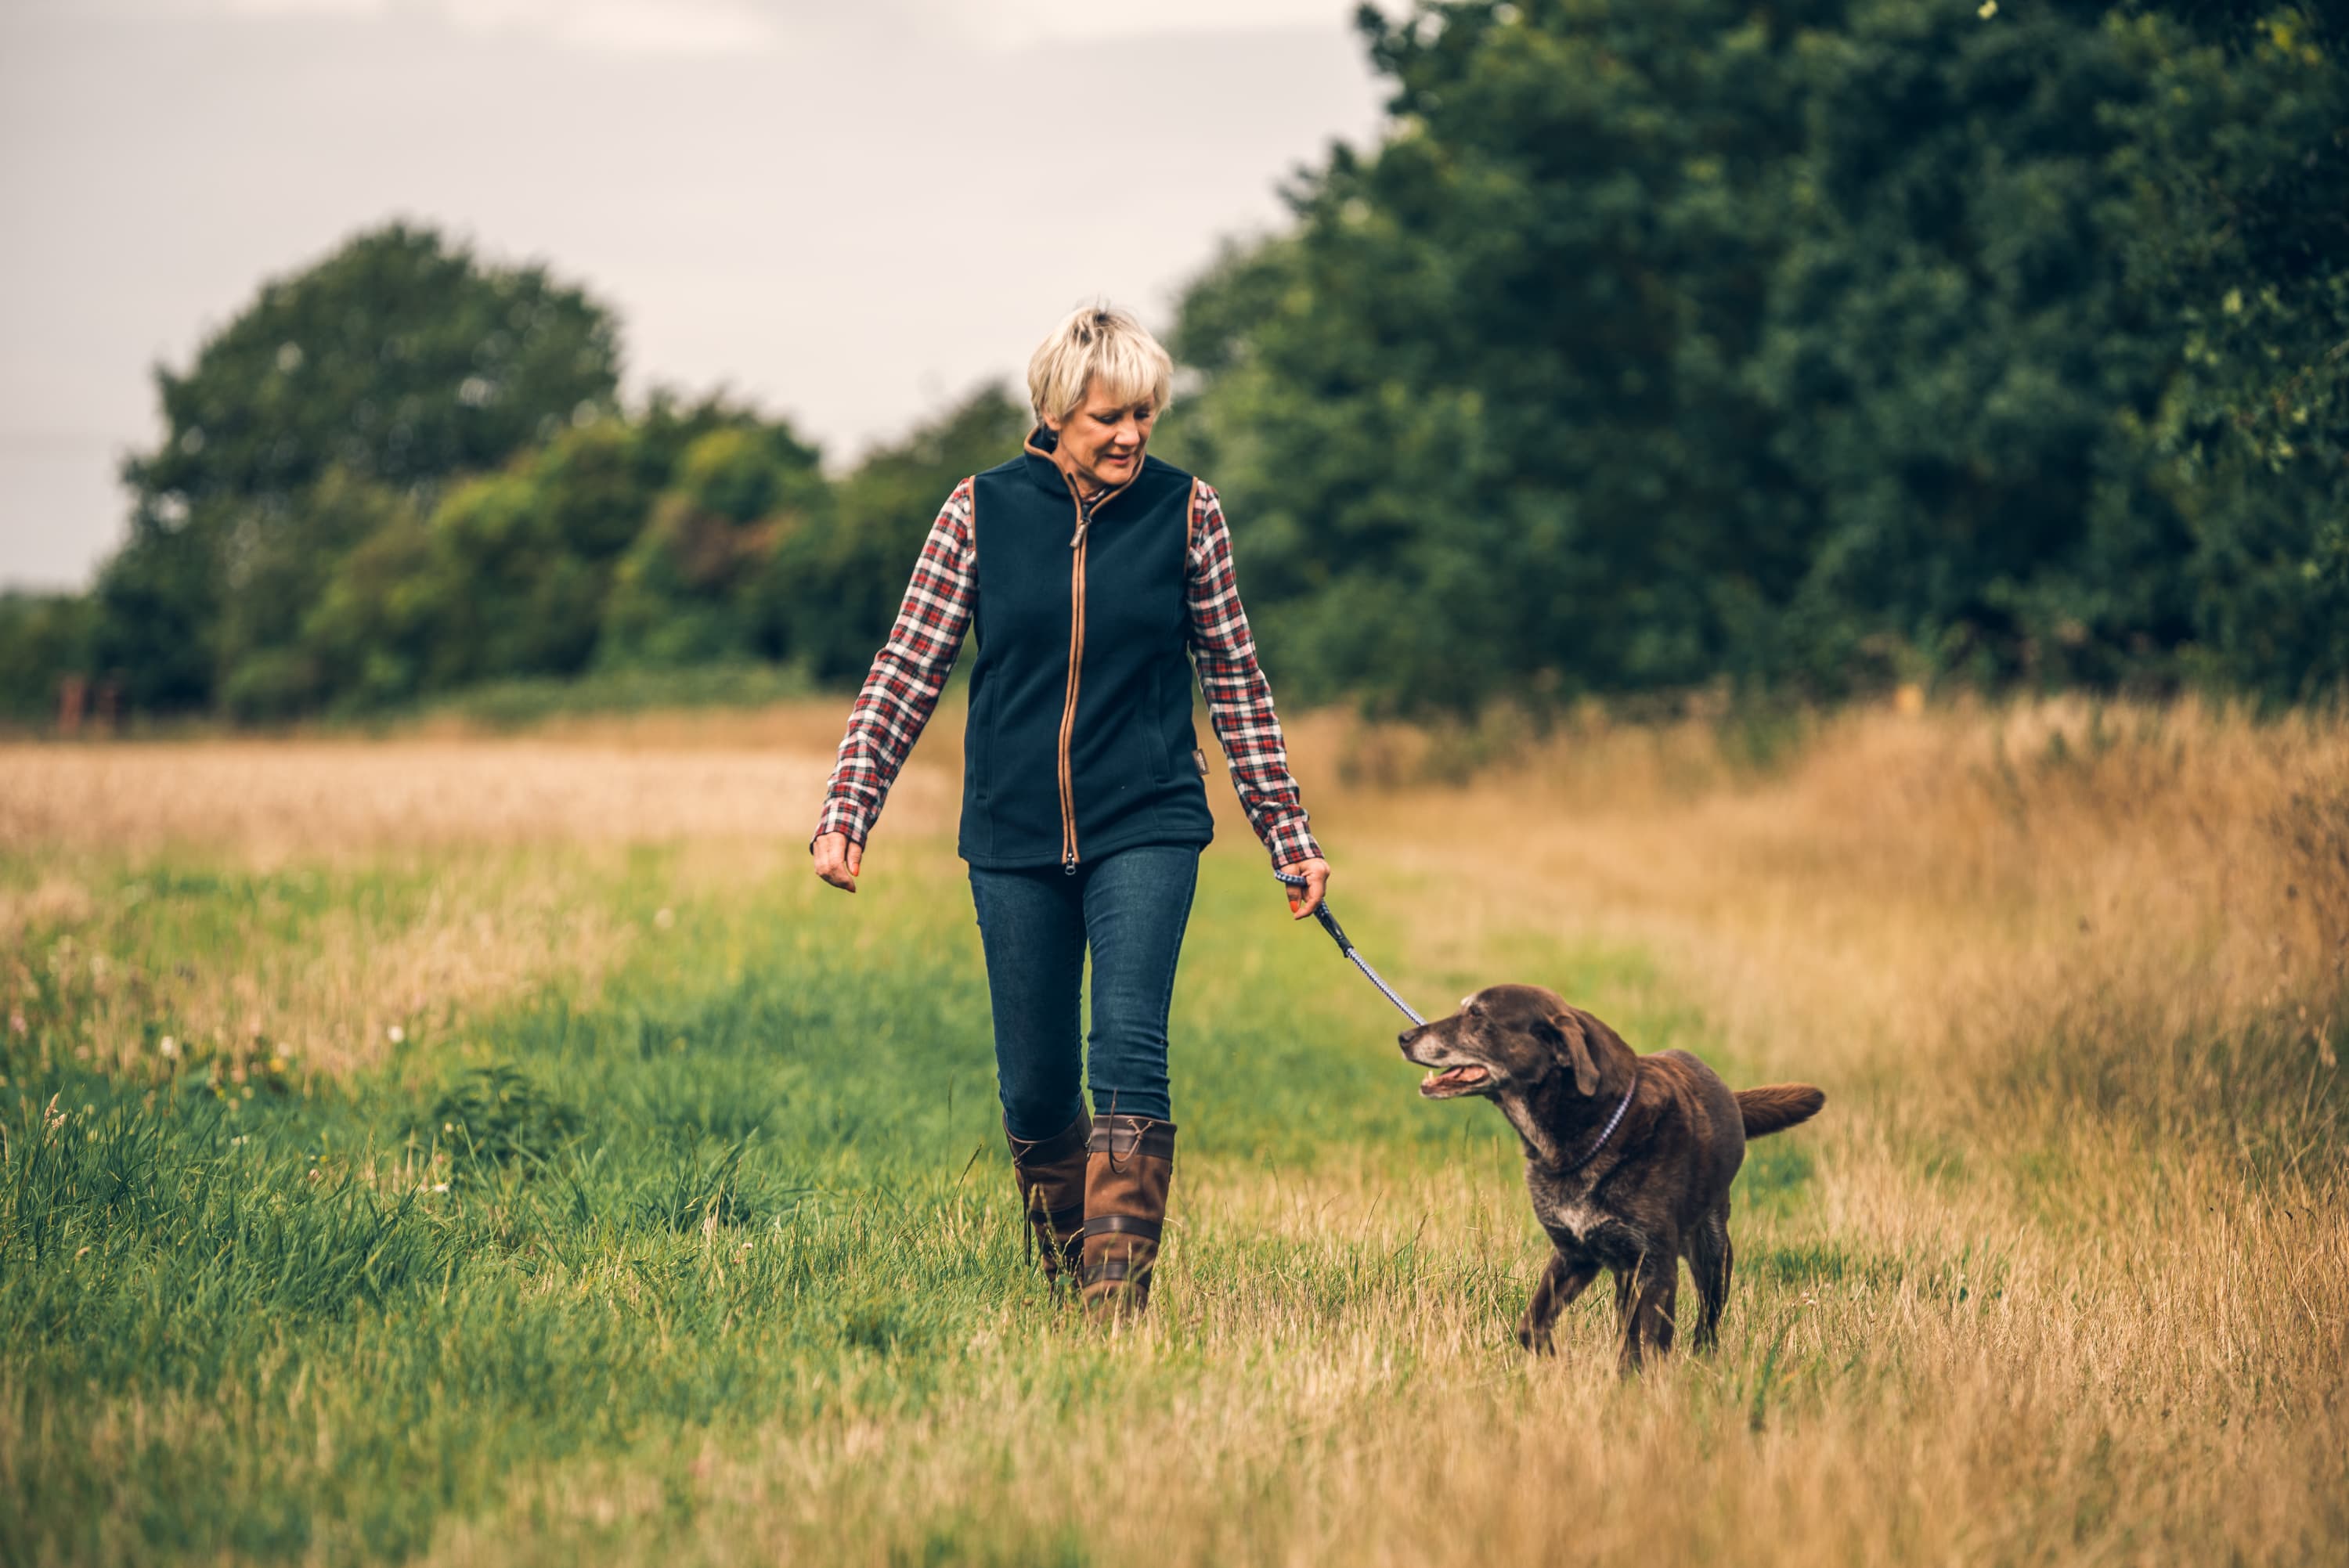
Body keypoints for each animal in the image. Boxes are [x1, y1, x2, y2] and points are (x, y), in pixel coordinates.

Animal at [1400, 986, 1823, 1361]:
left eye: (1476, 1015)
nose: (1404, 1037)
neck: (1591, 1131)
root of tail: (1728, 1095)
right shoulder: (1576, 1255)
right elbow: (1532, 1327)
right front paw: (1561, 1363)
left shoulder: (1655, 1267)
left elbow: (1648, 1349)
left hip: (1711, 1251)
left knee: (1706, 1322)